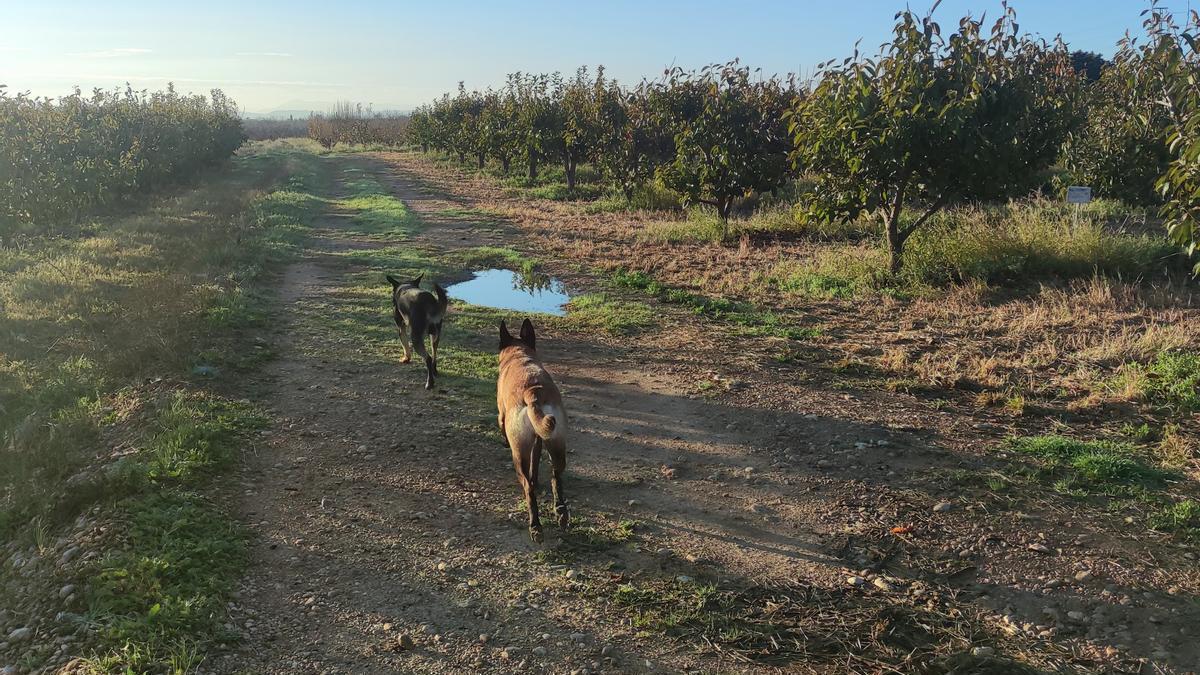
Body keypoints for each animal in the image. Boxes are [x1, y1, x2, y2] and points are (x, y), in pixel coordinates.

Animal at [499, 317, 568, 540]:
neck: (519, 354)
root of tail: (532, 393)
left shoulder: (501, 415)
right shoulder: (538, 440)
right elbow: (536, 462)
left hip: (518, 453)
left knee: (528, 488)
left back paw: (535, 526)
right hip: (556, 444)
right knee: (556, 476)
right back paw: (561, 512)